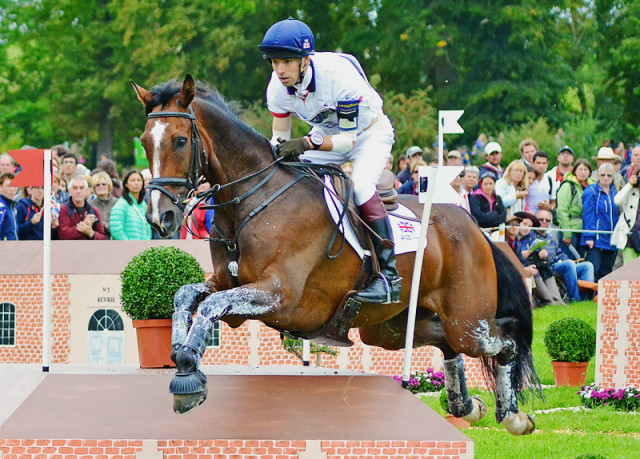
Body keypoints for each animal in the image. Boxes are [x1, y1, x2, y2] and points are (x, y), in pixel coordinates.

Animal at [132, 74, 544, 434]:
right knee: (446, 343)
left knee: (503, 342)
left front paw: (187, 372)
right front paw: (180, 355)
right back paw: (467, 406)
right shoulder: (226, 283)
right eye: (145, 141)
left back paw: (513, 416)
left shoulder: (279, 295)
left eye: (180, 141)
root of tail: (473, 227)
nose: (159, 217)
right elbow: (187, 295)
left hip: (466, 318)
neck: (252, 198)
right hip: (391, 328)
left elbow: (210, 305)